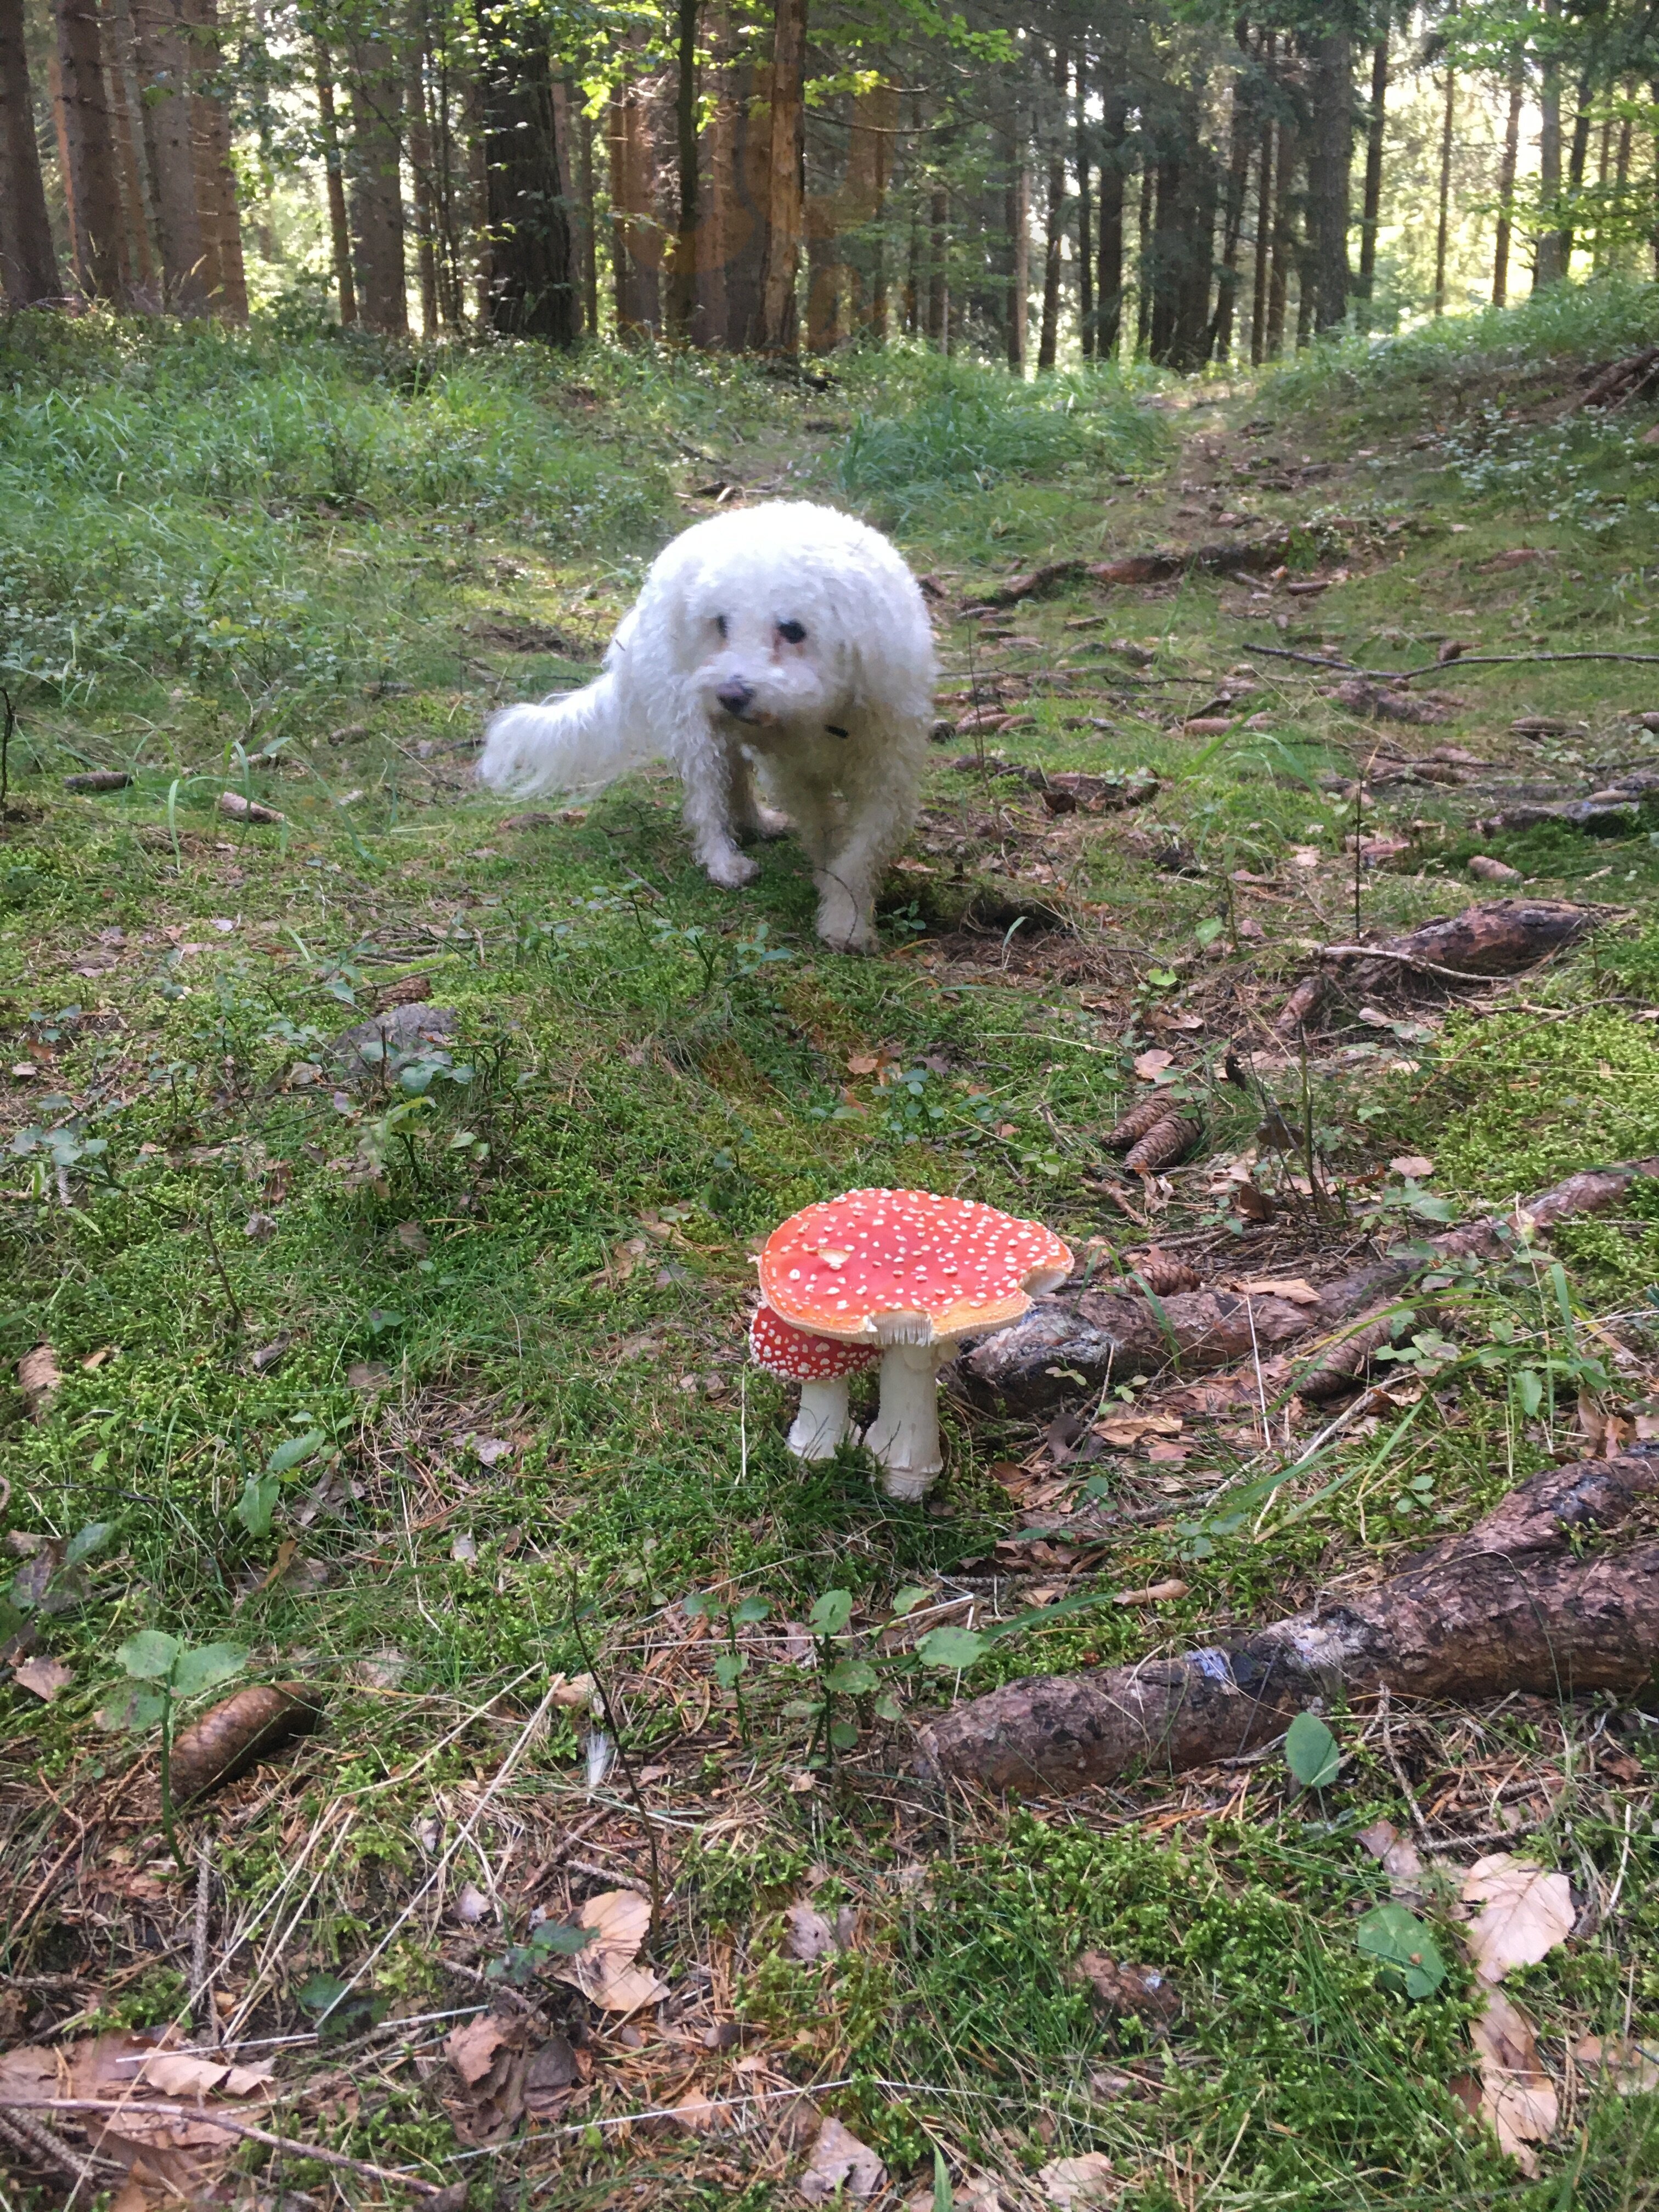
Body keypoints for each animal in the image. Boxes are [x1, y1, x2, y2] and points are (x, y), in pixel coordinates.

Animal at [477, 502, 938, 951]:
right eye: (722, 624)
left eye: (793, 630)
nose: (730, 695)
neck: (824, 717)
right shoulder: (796, 776)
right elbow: (826, 834)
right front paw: (836, 897)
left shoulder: (887, 776)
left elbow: (860, 853)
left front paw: (845, 918)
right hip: (696, 731)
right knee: (707, 801)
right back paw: (725, 863)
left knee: (735, 778)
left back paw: (757, 823)